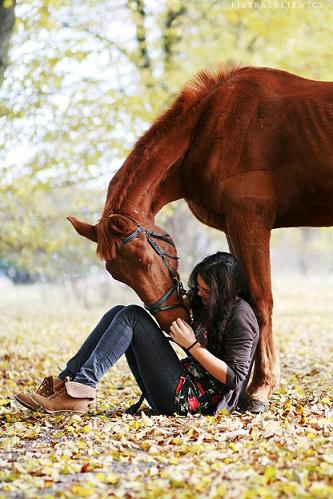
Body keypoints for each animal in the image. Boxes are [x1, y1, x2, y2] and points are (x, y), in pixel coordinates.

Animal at [67, 64, 332, 412]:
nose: (172, 321)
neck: (211, 127)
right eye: (116, 274)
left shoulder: (249, 220)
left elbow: (261, 301)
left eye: (145, 260)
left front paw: (260, 389)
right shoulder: (233, 226)